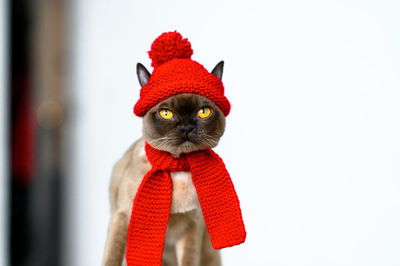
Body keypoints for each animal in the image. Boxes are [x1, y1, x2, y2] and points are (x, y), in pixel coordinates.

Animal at [101, 60, 227, 266]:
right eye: (166, 113)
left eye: (203, 112)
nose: (186, 127)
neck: (176, 168)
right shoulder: (122, 217)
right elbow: (111, 258)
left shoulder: (190, 229)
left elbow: (188, 261)